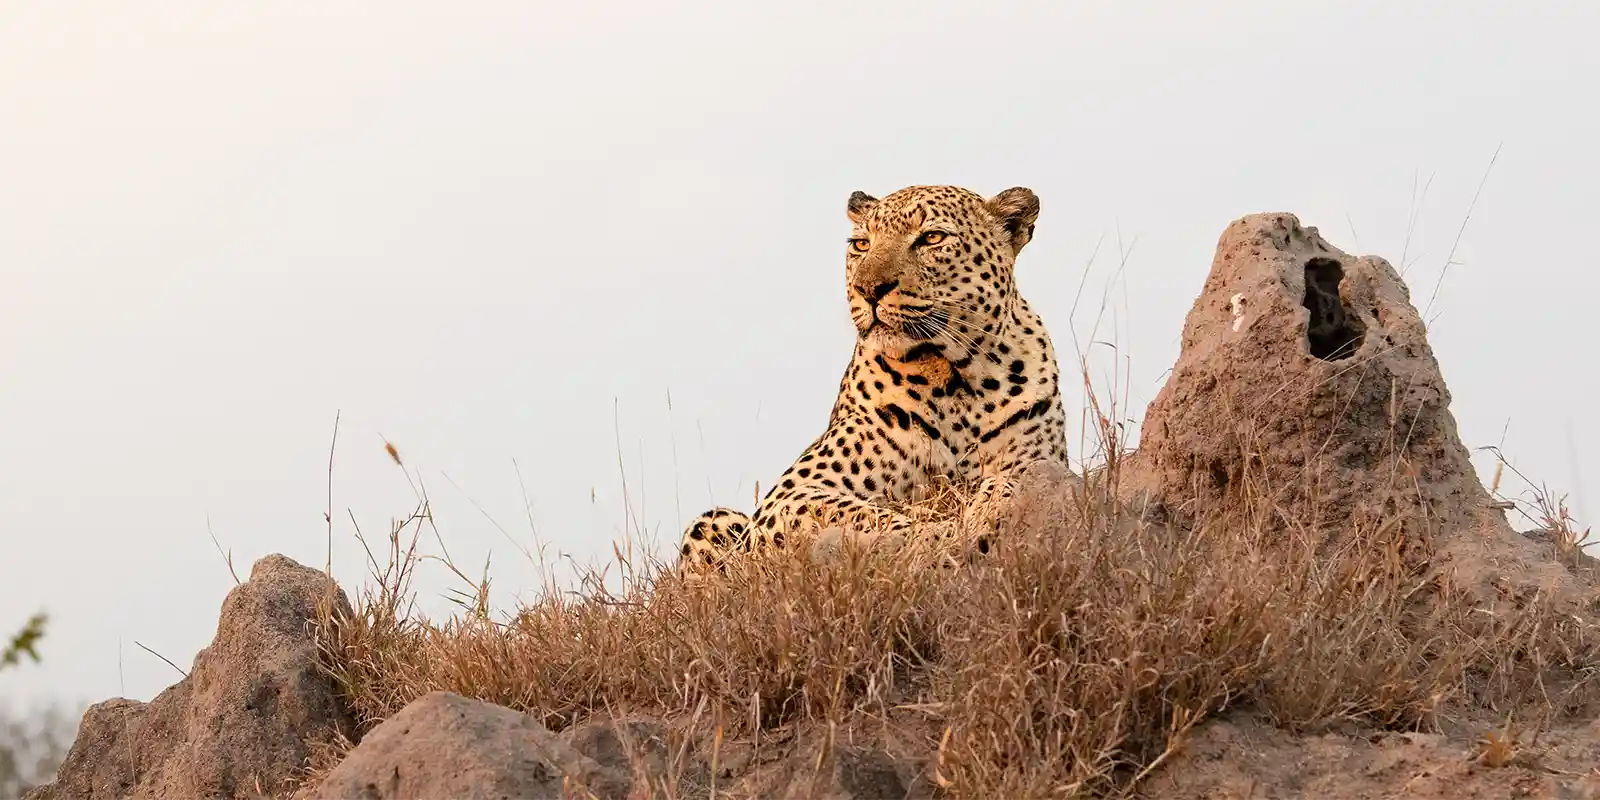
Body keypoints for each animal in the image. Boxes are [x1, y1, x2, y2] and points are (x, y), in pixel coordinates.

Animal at [677, 184, 1069, 574]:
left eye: (932, 238)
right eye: (861, 244)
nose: (867, 289)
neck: (952, 378)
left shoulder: (1038, 460)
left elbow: (1010, 481)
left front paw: (986, 507)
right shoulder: (793, 491)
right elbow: (860, 513)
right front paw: (940, 533)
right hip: (714, 520)